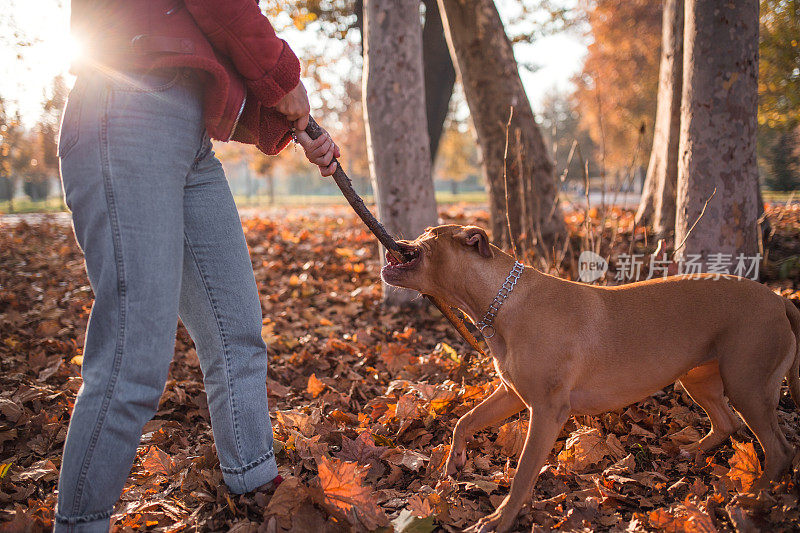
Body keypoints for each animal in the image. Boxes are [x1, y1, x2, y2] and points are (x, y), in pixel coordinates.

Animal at [382, 223, 800, 532]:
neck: (503, 301)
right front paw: (454, 461)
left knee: (780, 450)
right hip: (699, 378)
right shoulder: (511, 394)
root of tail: (779, 298)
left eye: (429, 233)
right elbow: (464, 421)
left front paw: (499, 519)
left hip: (748, 385)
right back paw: (695, 452)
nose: (395, 243)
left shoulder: (547, 410)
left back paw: (754, 497)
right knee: (727, 422)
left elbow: (522, 474)